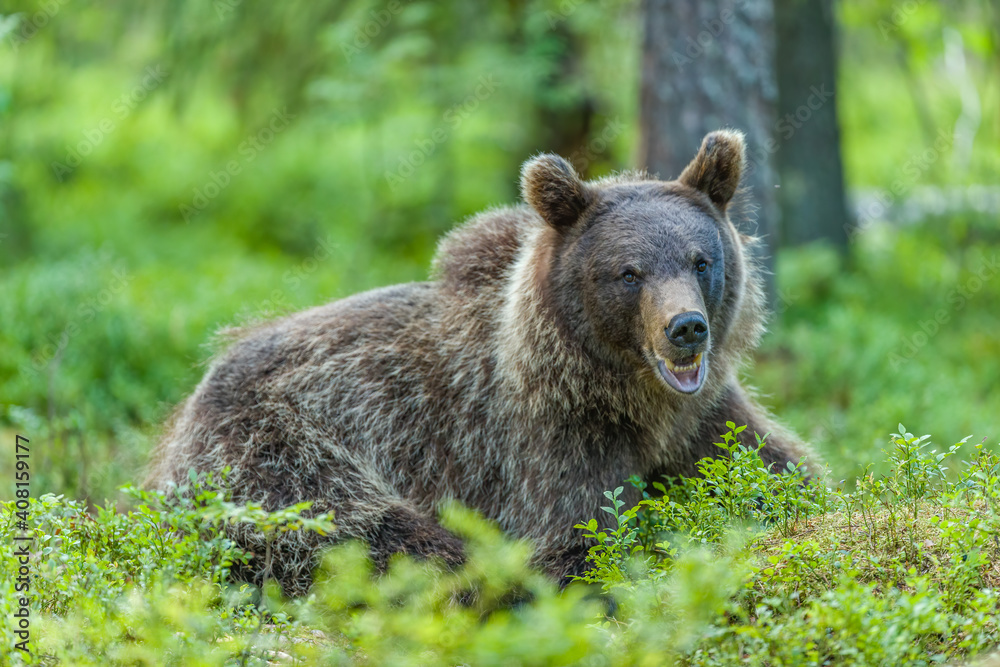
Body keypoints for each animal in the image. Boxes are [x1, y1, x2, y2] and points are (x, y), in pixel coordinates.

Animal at [145, 129, 814, 597]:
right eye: (630, 273)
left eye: (701, 260)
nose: (686, 328)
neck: (630, 398)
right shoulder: (541, 439)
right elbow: (580, 541)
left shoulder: (701, 418)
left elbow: (782, 472)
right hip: (274, 450)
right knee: (373, 530)